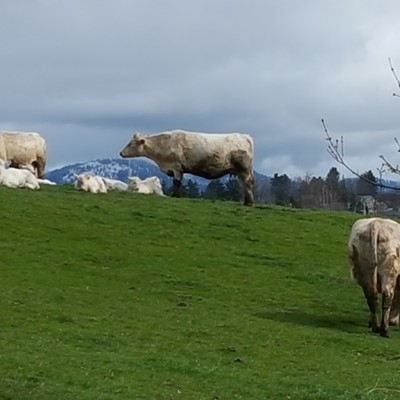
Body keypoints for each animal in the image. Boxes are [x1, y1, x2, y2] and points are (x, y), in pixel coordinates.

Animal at [120, 130, 255, 206]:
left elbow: (177, 182)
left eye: (131, 144)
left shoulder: (176, 167)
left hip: (244, 170)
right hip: (239, 171)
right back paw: (246, 201)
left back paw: (249, 203)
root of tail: (245, 136)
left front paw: (175, 196)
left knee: (248, 184)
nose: (121, 153)